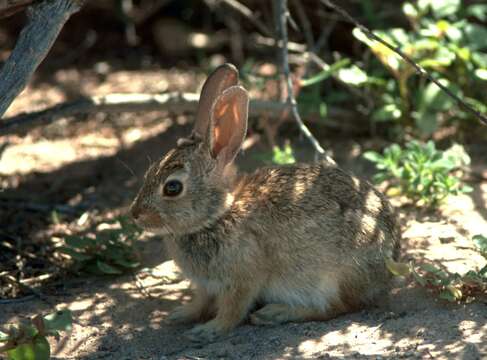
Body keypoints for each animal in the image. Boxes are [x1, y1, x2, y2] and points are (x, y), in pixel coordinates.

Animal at [130, 63, 400, 342]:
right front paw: (180, 315)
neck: (218, 216)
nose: (135, 214)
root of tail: (391, 256)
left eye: (172, 188)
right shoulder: (205, 286)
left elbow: (233, 310)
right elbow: (200, 302)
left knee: (336, 307)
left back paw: (275, 313)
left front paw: (208, 330)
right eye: (150, 171)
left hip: (332, 278)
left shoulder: (242, 279)